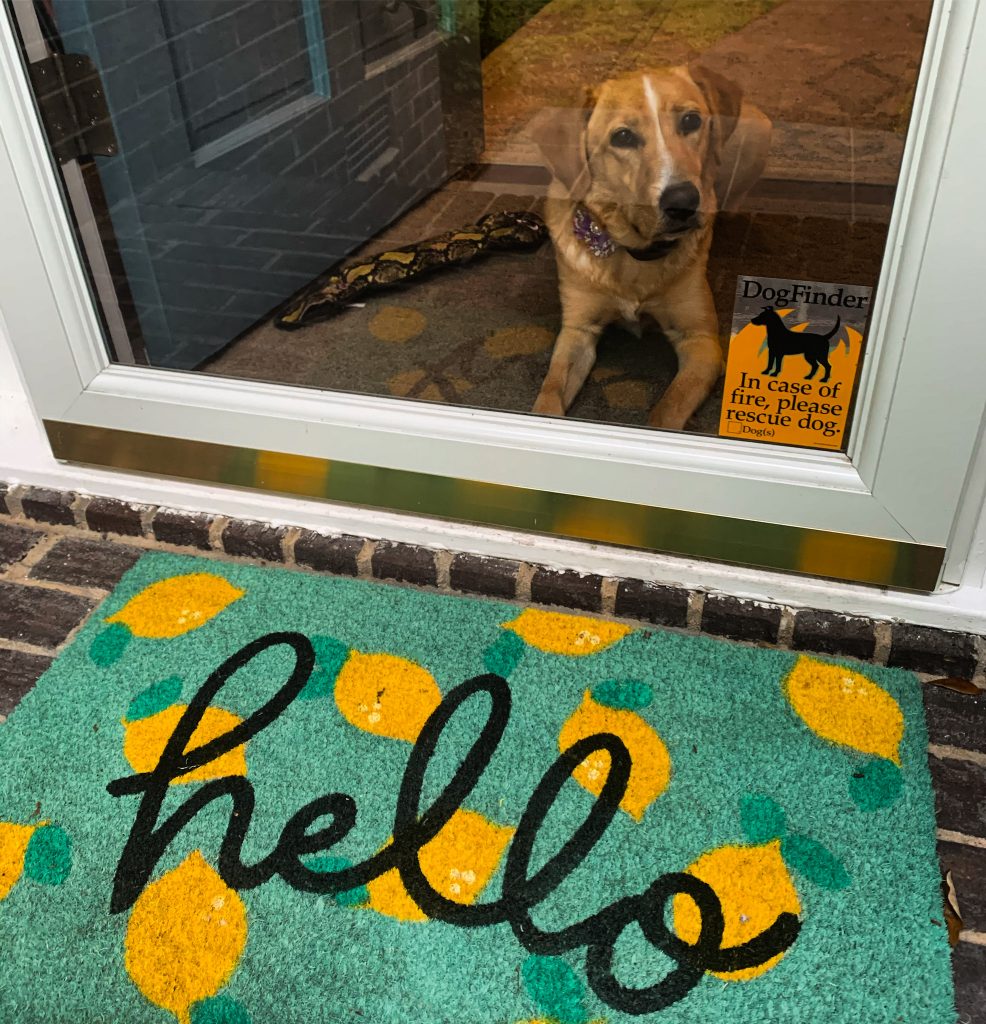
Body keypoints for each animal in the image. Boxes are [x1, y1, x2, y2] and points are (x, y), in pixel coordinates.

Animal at [532, 65, 769, 428]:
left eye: (691, 120)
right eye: (623, 137)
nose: (683, 202)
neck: (634, 255)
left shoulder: (701, 342)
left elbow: (666, 412)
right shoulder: (576, 330)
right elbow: (549, 395)